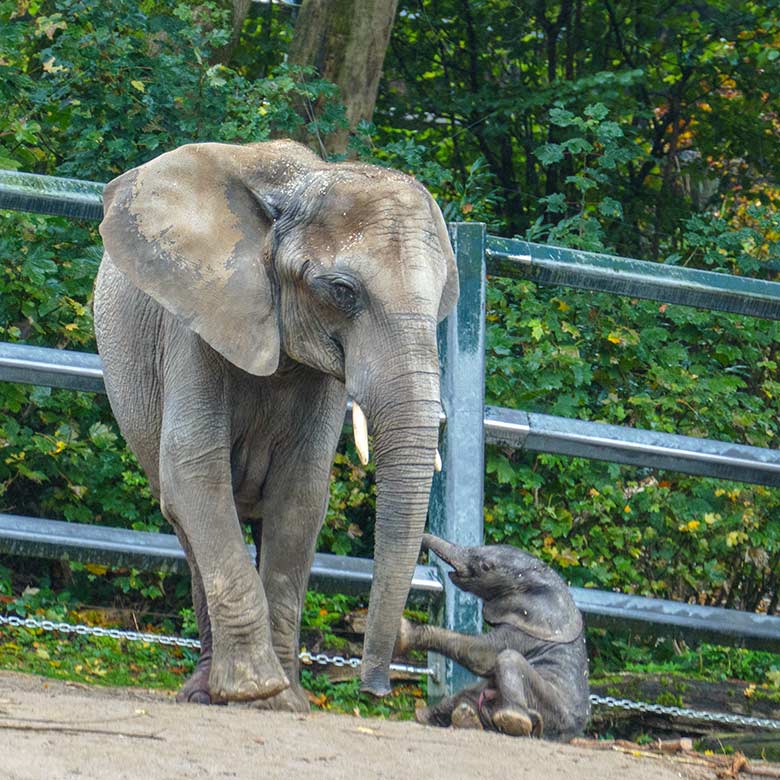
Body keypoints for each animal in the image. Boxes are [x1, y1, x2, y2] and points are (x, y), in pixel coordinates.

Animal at [93, 137, 458, 708]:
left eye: (443, 295)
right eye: (343, 291)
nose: (376, 690)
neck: (297, 184)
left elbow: (301, 494)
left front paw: (284, 702)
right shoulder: (197, 321)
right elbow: (195, 472)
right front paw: (256, 688)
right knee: (187, 523)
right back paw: (206, 692)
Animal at [400, 532, 588, 740]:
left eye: (485, 566)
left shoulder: (526, 630)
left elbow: (482, 655)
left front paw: (404, 632)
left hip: (554, 713)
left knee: (508, 659)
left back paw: (513, 721)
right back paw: (446, 716)